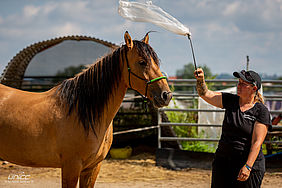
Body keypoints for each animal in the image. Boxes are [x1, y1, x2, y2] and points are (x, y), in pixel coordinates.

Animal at [0, 31, 172, 187]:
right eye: (142, 62)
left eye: (156, 62)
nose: (166, 95)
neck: (84, 111)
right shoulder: (71, 166)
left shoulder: (92, 168)